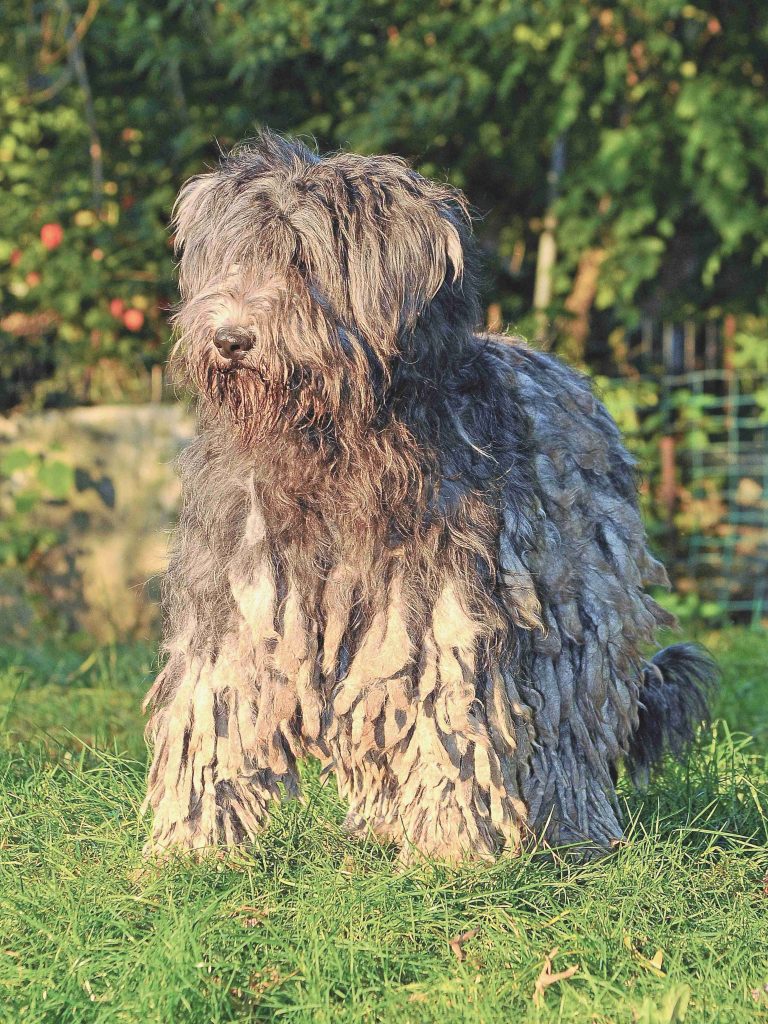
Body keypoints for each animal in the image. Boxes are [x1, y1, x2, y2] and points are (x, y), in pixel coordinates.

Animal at [141, 132, 720, 860]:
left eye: (302, 261)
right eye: (233, 258)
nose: (230, 339)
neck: (329, 443)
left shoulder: (439, 604)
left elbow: (450, 722)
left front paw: (451, 846)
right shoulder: (240, 592)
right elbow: (214, 709)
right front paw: (192, 846)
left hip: (575, 626)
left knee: (568, 735)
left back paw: (576, 834)